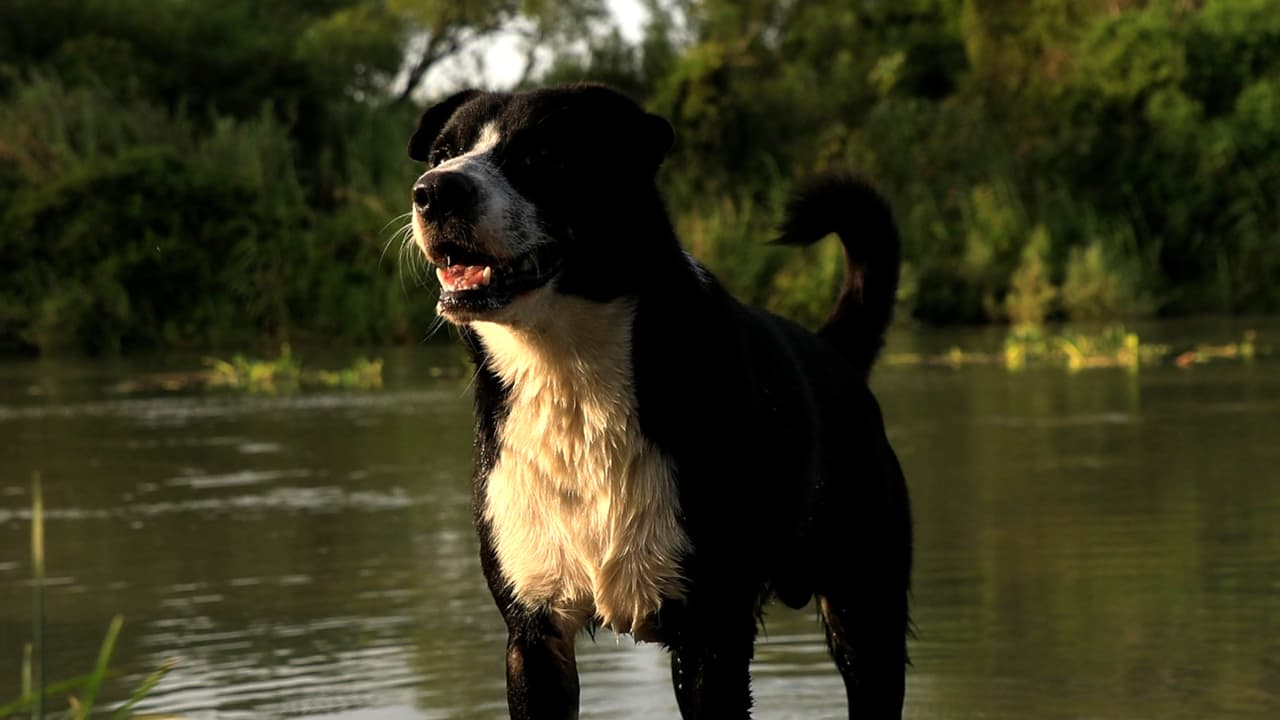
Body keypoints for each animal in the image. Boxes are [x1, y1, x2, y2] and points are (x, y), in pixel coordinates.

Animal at [407, 83, 911, 719]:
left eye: (542, 153)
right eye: (442, 154)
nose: (435, 191)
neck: (571, 383)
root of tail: (835, 352)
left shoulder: (710, 635)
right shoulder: (533, 638)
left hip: (865, 612)